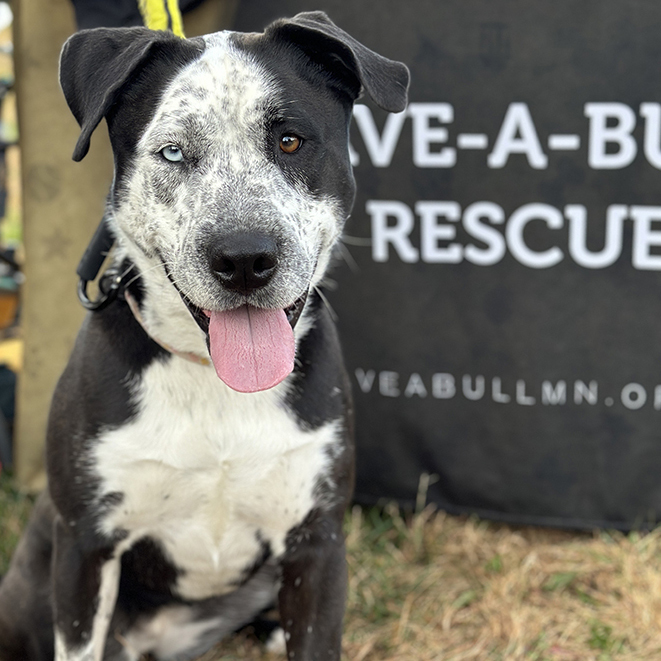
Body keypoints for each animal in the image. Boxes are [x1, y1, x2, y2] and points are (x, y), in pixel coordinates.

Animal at [0, 10, 408, 660]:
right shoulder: (86, 550)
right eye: (172, 152)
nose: (244, 258)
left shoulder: (317, 543)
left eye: (289, 141)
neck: (213, 378)